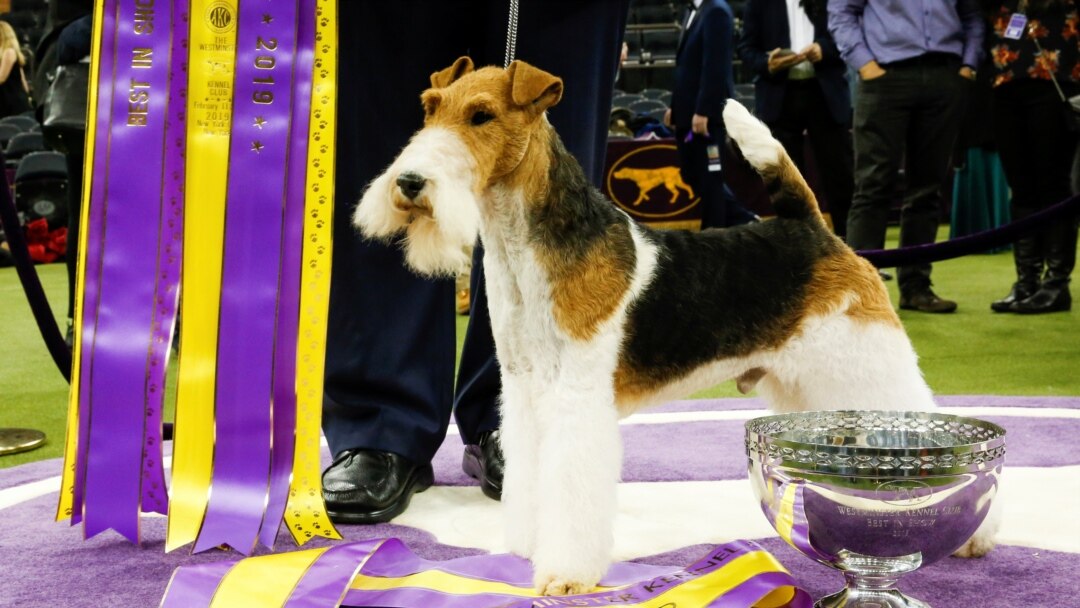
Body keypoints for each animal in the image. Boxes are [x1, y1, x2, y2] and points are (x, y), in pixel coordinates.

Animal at [352, 55, 993, 596]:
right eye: (430, 106)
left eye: (481, 115)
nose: (409, 184)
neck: (524, 250)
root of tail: (812, 225)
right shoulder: (527, 391)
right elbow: (531, 480)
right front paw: (525, 549)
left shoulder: (576, 397)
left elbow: (571, 490)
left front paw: (564, 575)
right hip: (807, 379)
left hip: (865, 362)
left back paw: (970, 532)